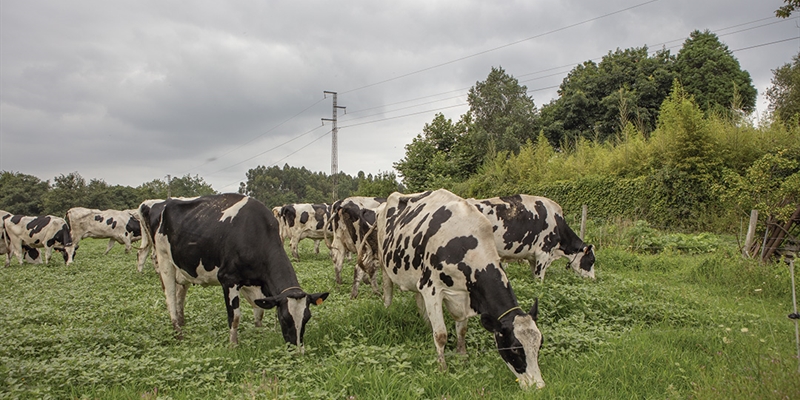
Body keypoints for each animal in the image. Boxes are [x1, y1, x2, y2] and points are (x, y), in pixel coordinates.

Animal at [378, 189, 548, 390]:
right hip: (384, 264)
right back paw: (388, 312)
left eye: (540, 344)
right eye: (514, 348)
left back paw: (426, 324)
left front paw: (462, 358)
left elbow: (462, 330)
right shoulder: (432, 289)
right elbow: (441, 335)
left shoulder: (465, 295)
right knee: (388, 292)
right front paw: (443, 368)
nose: (539, 386)